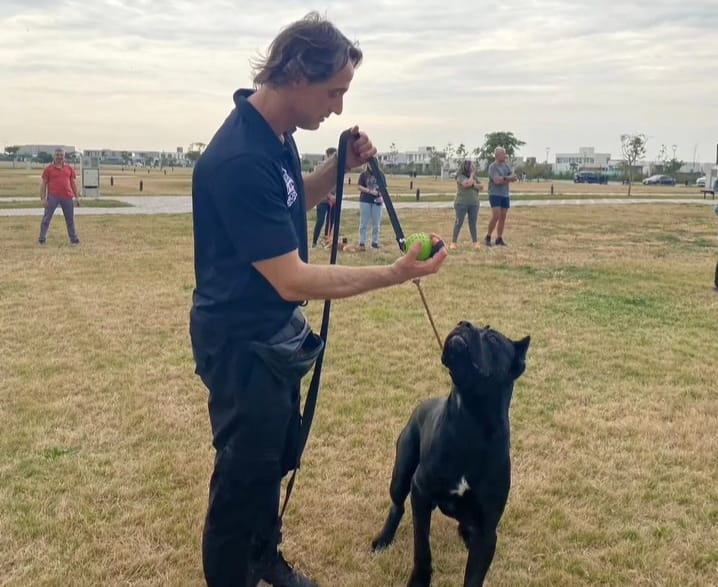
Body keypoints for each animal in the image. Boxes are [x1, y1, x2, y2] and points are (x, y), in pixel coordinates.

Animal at [374, 324, 532, 584]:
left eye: (493, 338)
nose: (464, 324)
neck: (470, 420)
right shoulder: (421, 492)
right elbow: (422, 548)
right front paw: (419, 579)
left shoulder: (487, 531)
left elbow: (474, 577)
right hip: (401, 473)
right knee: (397, 505)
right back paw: (383, 539)